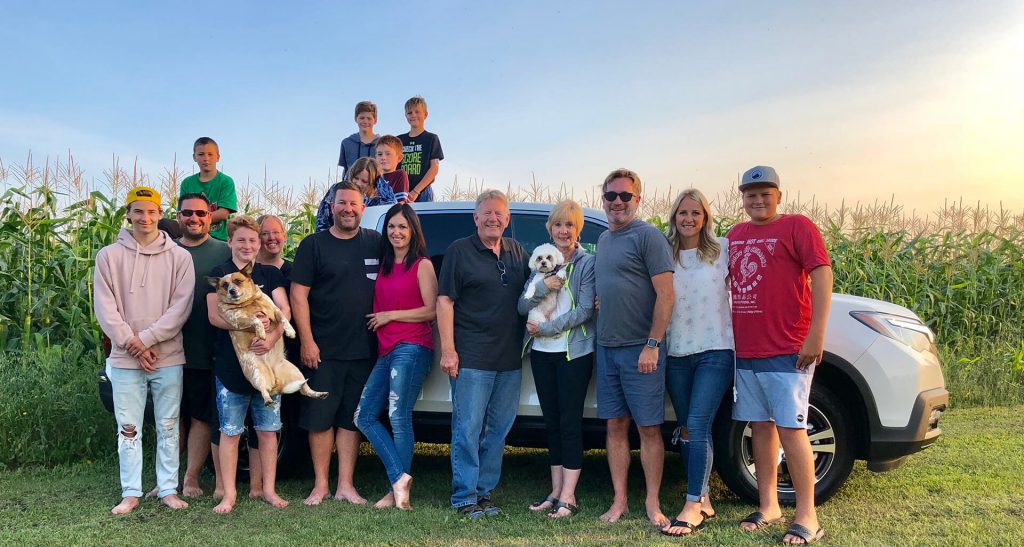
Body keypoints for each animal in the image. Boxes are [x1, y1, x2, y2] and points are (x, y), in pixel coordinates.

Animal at [210, 264, 329, 405]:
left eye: (238, 281)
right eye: (225, 285)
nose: (232, 291)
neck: (248, 302)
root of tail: (275, 382)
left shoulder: (274, 310)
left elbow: (283, 318)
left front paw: (290, 331)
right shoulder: (236, 320)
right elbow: (255, 319)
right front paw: (261, 331)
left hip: (296, 372)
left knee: (304, 390)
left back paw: (319, 394)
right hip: (258, 374)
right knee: (264, 390)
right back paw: (267, 400)